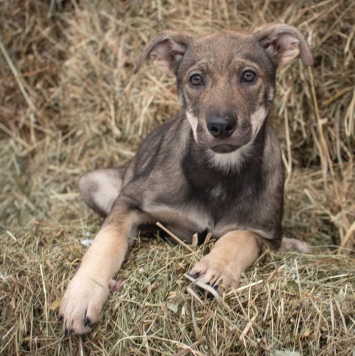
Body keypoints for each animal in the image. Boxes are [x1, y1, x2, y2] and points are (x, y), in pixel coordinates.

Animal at [59, 23, 312, 336]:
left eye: (248, 76)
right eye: (196, 79)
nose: (220, 126)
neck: (219, 174)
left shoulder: (265, 233)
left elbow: (238, 237)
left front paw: (215, 269)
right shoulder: (129, 200)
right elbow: (106, 243)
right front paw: (82, 295)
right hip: (92, 183)